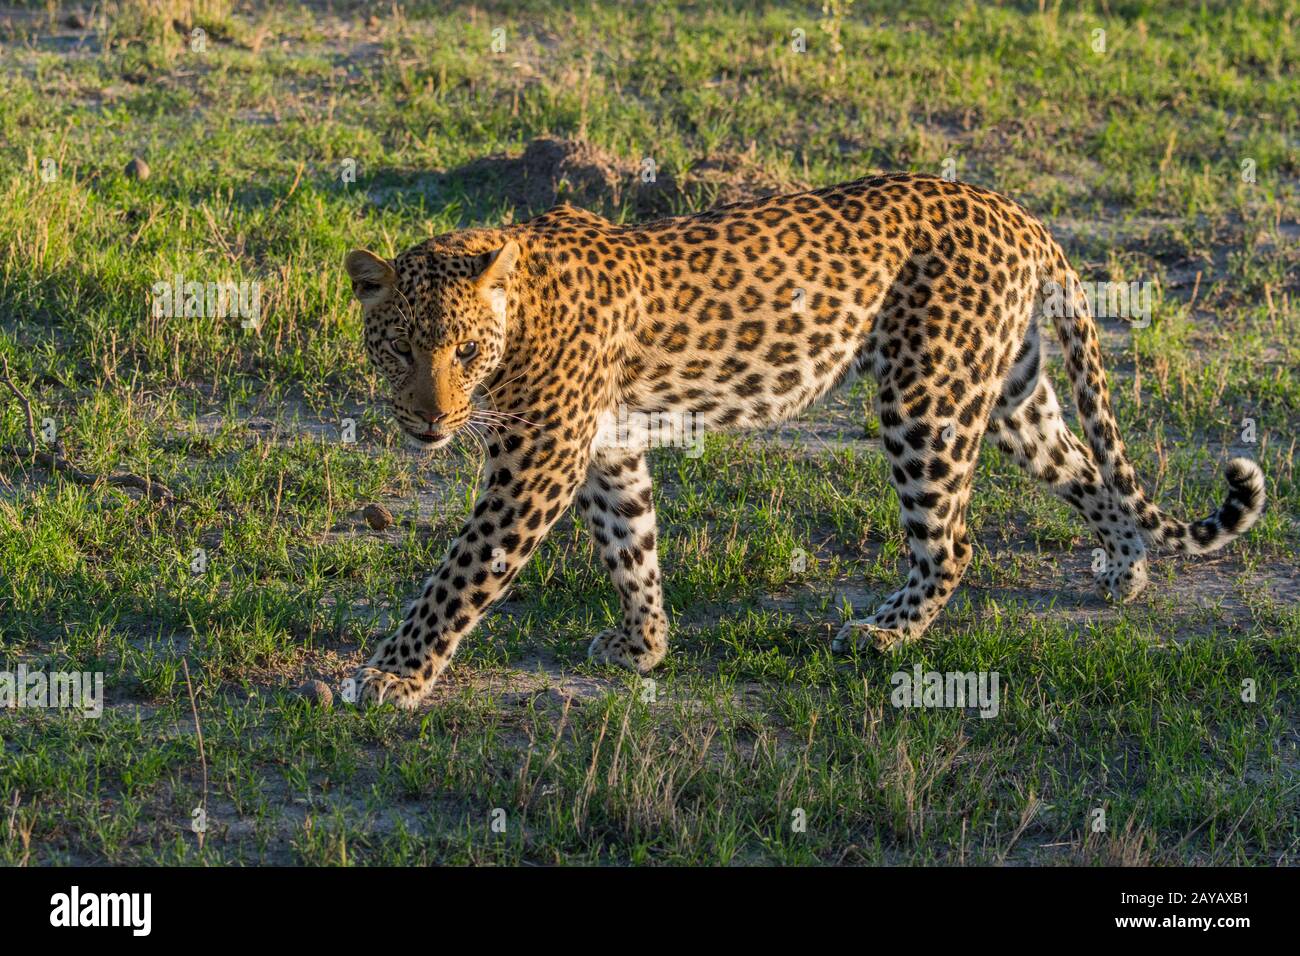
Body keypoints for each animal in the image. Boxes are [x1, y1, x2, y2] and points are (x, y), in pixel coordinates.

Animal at [343, 172, 1266, 709]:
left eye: (464, 352)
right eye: (399, 348)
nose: (429, 420)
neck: (523, 309)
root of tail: (1015, 212)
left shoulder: (535, 465)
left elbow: (457, 578)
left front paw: (391, 674)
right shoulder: (607, 450)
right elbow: (631, 546)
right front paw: (645, 646)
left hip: (926, 398)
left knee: (953, 540)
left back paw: (884, 633)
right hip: (1007, 394)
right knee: (1090, 473)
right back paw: (1124, 570)